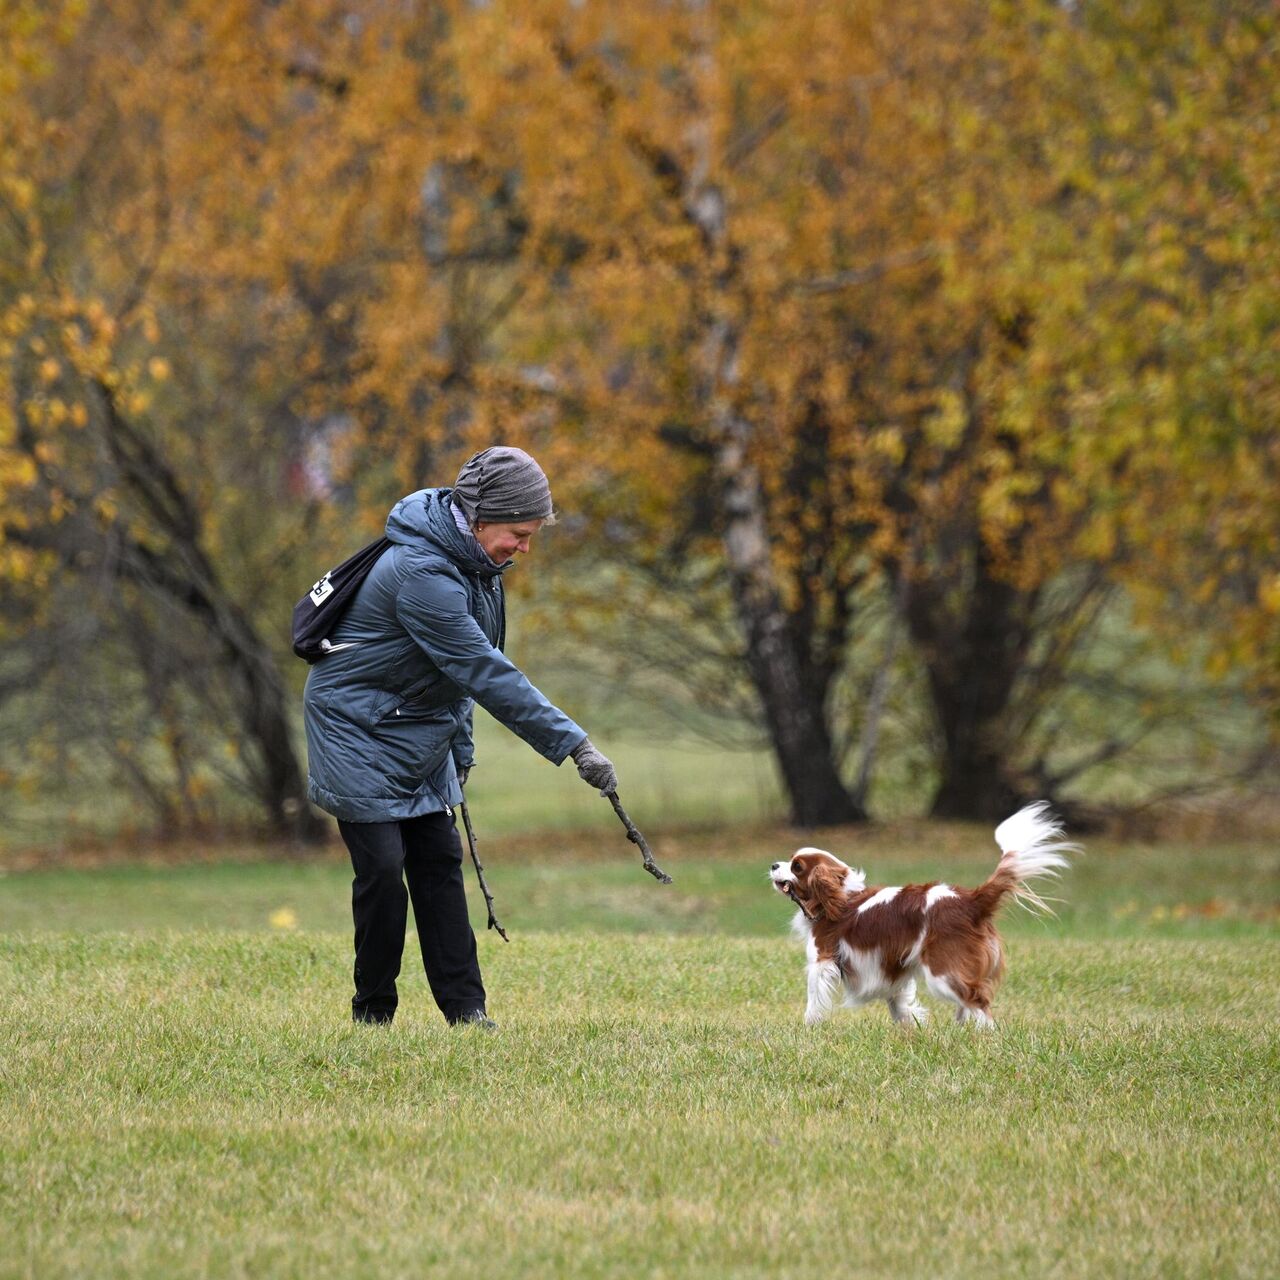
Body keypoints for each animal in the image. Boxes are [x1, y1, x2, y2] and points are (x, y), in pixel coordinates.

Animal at [762, 808, 1075, 1029]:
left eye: (797, 867)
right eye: (789, 860)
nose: (774, 864)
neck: (839, 898)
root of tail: (971, 900)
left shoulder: (821, 962)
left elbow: (813, 1001)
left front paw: (809, 1028)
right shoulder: (891, 966)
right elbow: (900, 1004)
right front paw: (911, 1028)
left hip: (943, 972)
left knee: (978, 1000)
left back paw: (985, 1036)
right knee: (969, 1002)